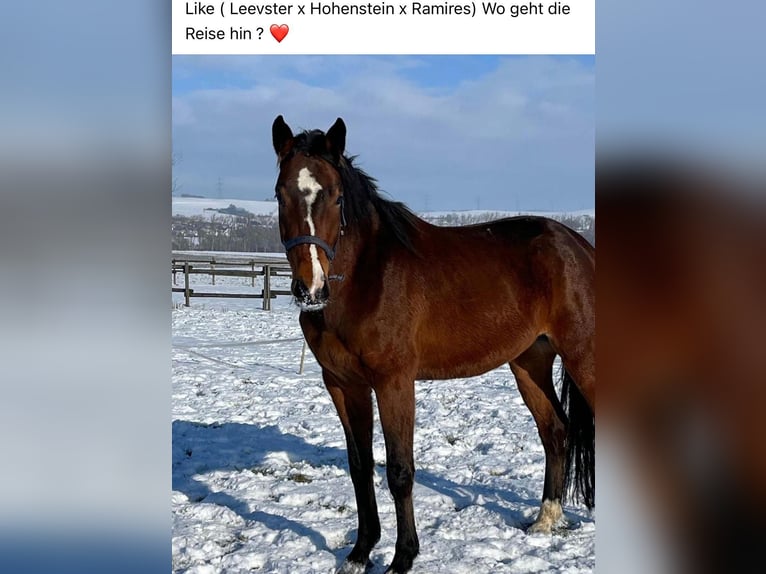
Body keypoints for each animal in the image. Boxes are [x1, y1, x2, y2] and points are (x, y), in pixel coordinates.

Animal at [272, 115, 596, 572]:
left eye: (335, 197)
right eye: (280, 193)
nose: (311, 288)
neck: (367, 278)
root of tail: (578, 245)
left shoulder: (394, 382)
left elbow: (399, 470)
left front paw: (402, 557)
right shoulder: (342, 384)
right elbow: (359, 466)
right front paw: (360, 552)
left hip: (584, 356)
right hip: (529, 362)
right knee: (555, 430)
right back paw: (545, 520)